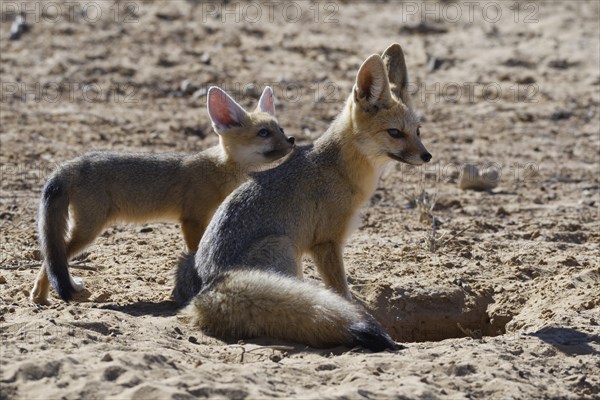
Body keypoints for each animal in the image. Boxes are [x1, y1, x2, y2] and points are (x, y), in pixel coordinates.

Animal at [32, 85, 296, 304]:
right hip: (89, 231)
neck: (219, 168)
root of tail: (73, 163)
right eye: (264, 133)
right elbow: (196, 252)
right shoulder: (191, 220)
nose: (292, 139)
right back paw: (41, 297)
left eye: (280, 129)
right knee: (51, 258)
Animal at [173, 42, 432, 352]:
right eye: (395, 133)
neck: (339, 170)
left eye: (418, 131)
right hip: (283, 246)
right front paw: (354, 310)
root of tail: (206, 289)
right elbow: (340, 290)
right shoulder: (326, 243)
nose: (427, 156)